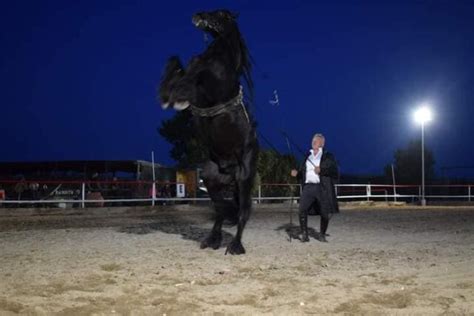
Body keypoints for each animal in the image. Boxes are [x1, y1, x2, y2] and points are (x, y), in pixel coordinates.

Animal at [158, 9, 260, 256]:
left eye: (221, 13)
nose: (197, 15)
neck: (219, 57)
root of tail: (229, 170)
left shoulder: (210, 87)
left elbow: (192, 81)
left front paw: (175, 98)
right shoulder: (195, 72)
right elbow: (177, 63)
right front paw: (167, 92)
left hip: (244, 178)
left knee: (242, 213)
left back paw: (235, 246)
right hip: (210, 179)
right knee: (221, 210)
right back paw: (212, 240)